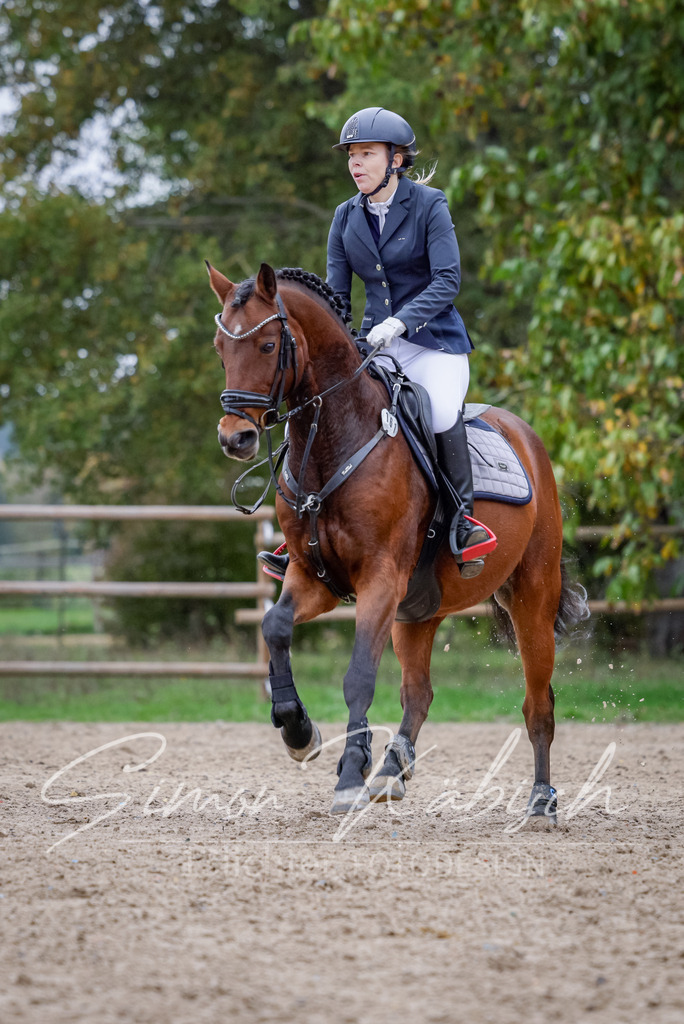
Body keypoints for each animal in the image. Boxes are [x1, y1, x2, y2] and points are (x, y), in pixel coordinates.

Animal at [207, 261, 589, 818]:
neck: (333, 436)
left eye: (267, 345)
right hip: (418, 610)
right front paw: (299, 731)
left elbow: (359, 676)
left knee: (539, 701)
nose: (235, 438)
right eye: (220, 347)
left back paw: (541, 799)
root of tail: (526, 438)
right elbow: (275, 626)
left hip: (531, 598)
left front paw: (347, 775)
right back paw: (390, 769)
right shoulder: (314, 575)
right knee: (419, 692)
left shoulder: (380, 579)